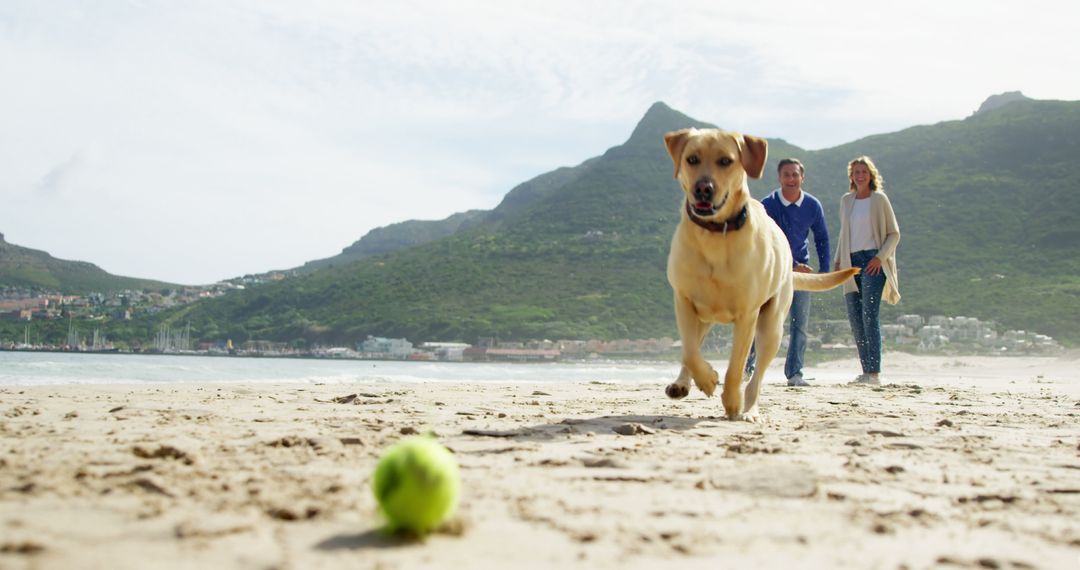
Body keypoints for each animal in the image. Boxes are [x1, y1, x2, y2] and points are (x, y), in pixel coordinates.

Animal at [660, 130, 855, 423]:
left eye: (726, 161)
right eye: (691, 159)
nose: (703, 188)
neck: (716, 235)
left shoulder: (747, 315)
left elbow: (735, 368)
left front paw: (732, 402)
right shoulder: (683, 301)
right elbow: (690, 351)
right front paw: (707, 379)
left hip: (771, 327)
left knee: (757, 378)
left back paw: (750, 410)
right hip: (706, 318)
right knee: (692, 347)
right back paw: (682, 383)